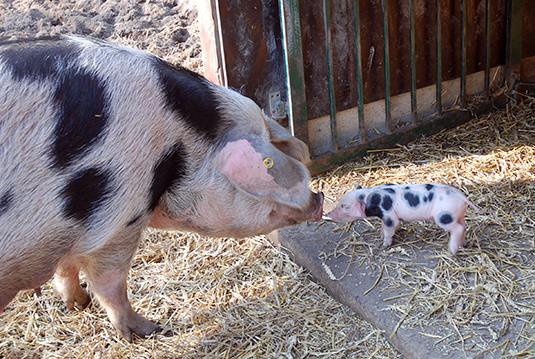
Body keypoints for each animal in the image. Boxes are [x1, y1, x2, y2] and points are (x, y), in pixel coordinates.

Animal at [328, 184, 484, 255]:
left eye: (346, 206)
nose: (329, 213)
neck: (371, 198)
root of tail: (462, 197)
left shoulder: (389, 216)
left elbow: (390, 228)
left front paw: (384, 245)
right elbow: (383, 227)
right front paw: (381, 236)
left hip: (444, 216)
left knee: (458, 229)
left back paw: (452, 251)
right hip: (458, 215)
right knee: (463, 227)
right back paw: (463, 244)